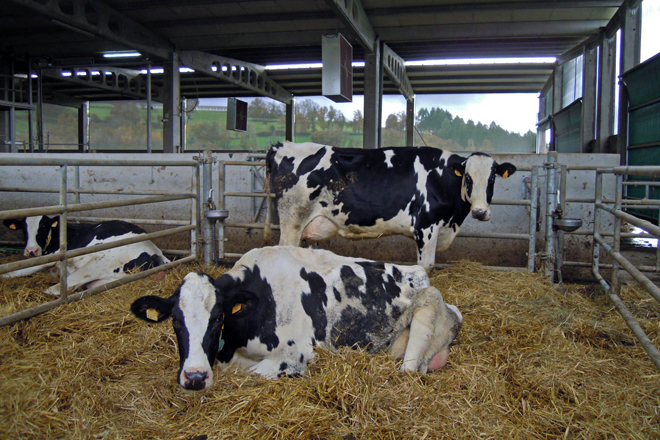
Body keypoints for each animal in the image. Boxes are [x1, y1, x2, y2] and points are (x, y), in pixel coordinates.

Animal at [2, 215, 171, 296]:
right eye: (23, 228)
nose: (31, 250)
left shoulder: (55, 254)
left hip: (97, 264)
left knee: (56, 289)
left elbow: (21, 270)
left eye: (43, 227)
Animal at [130, 246, 462, 390]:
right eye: (176, 321)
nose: (195, 377)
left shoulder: (294, 355)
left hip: (428, 306)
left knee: (410, 369)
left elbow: (254, 374)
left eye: (217, 319)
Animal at [266, 142, 517, 271]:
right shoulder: (425, 227)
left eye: (492, 179)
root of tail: (282, 146)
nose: (480, 212)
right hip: (292, 220)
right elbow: (426, 266)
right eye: (468, 178)